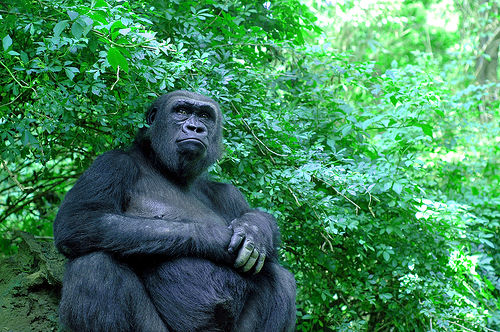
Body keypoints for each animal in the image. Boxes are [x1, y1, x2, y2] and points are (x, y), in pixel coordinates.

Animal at [53, 91, 296, 332]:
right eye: (181, 111)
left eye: (205, 116)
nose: (195, 128)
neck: (162, 166)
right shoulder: (111, 163)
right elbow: (80, 218)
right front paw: (216, 237)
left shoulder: (228, 193)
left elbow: (266, 240)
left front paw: (255, 228)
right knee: (94, 263)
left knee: (279, 277)